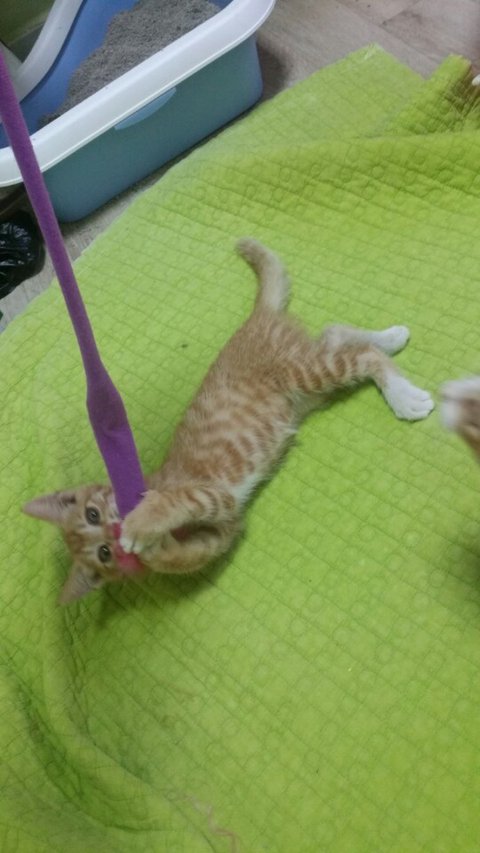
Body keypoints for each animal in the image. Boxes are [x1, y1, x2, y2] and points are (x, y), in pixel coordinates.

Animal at [24, 238, 434, 604]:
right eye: (104, 554)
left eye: (93, 514)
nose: (112, 530)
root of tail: (256, 318)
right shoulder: (224, 526)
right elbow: (189, 556)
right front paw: (155, 552)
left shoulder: (205, 494)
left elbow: (172, 503)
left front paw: (140, 524)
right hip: (307, 381)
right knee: (336, 334)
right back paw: (392, 338)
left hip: (303, 373)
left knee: (362, 356)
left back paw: (402, 390)